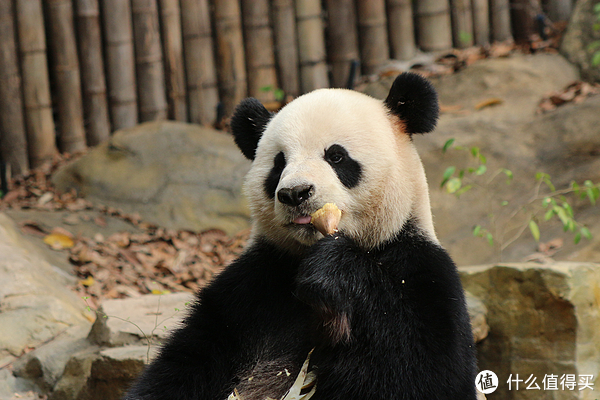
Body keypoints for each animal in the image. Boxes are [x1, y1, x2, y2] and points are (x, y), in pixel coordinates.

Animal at [124, 72, 476, 400]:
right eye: (279, 163)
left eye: (336, 156)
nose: (295, 193)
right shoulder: (254, 285)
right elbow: (186, 361)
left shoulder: (421, 269)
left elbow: (423, 368)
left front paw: (332, 272)